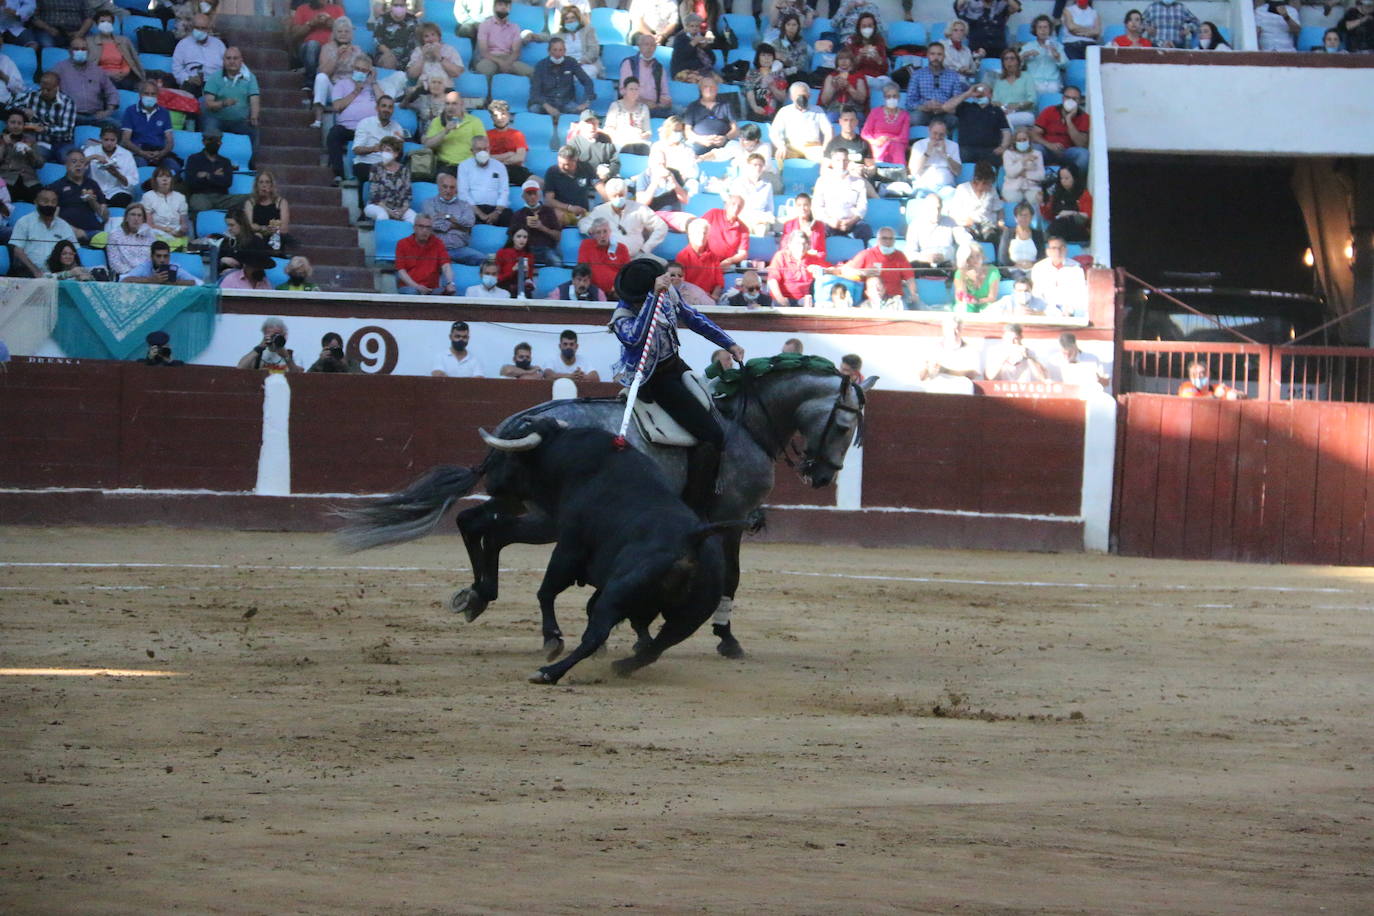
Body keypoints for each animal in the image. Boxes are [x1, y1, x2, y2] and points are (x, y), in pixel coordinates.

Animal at [343, 362, 879, 661]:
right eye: (844, 425)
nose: (823, 475)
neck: (746, 421)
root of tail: (516, 426)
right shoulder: (732, 517)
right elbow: (732, 578)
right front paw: (727, 639)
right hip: (548, 520)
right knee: (487, 531)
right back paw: (525, 621)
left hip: (524, 507)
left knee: (476, 524)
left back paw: (478, 597)